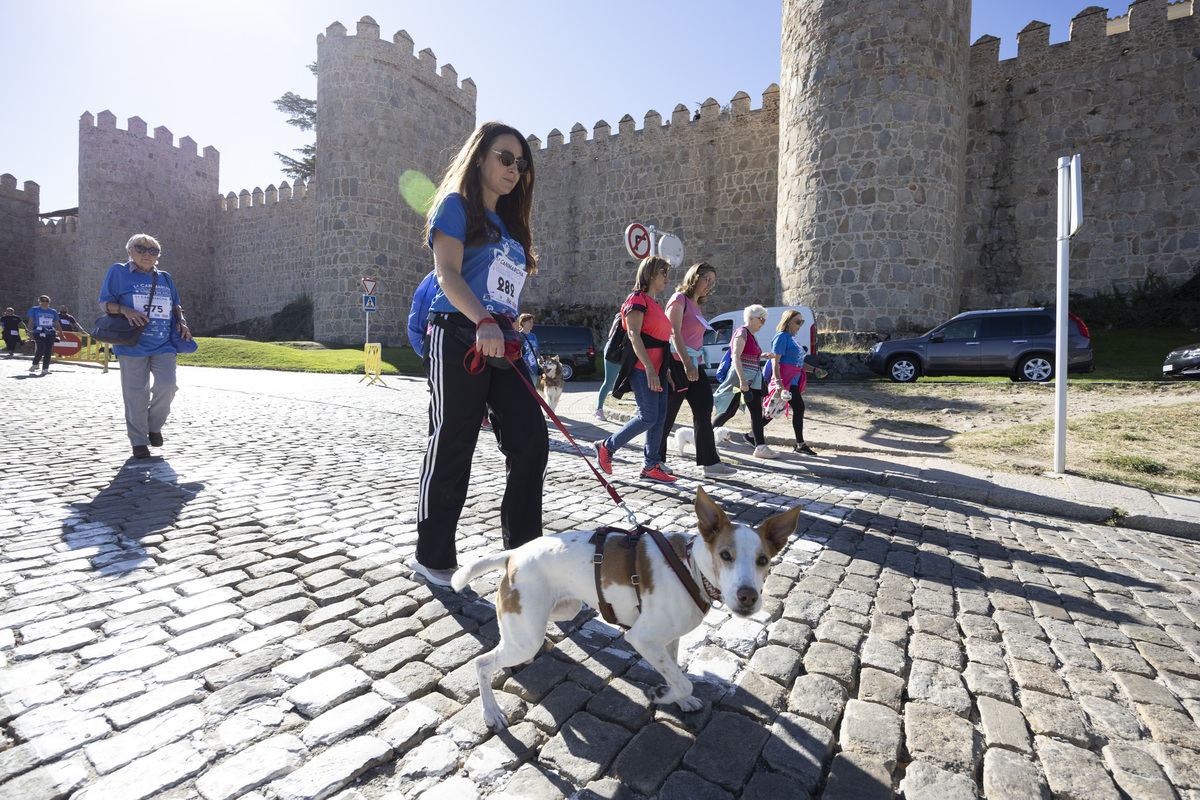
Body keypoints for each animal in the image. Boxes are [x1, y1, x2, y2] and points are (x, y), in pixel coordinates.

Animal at [453, 489, 801, 734]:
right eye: (726, 555)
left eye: (763, 560)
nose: (748, 596)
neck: (690, 568)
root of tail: (513, 555)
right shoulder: (641, 638)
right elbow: (683, 680)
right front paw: (662, 696)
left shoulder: (669, 639)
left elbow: (676, 672)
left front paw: (679, 699)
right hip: (526, 638)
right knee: (482, 664)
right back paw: (491, 712)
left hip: (561, 611)